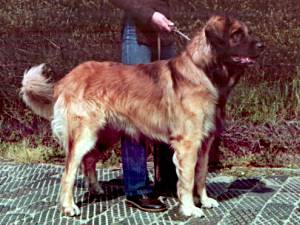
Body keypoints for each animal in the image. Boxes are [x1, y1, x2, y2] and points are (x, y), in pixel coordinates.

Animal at [20, 14, 262, 217]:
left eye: (247, 32)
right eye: (236, 34)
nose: (261, 45)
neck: (204, 70)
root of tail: (67, 79)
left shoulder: (205, 141)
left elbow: (201, 174)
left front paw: (203, 200)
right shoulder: (188, 143)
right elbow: (187, 179)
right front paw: (190, 208)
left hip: (105, 134)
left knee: (89, 160)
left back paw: (97, 190)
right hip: (84, 135)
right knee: (69, 172)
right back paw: (69, 207)